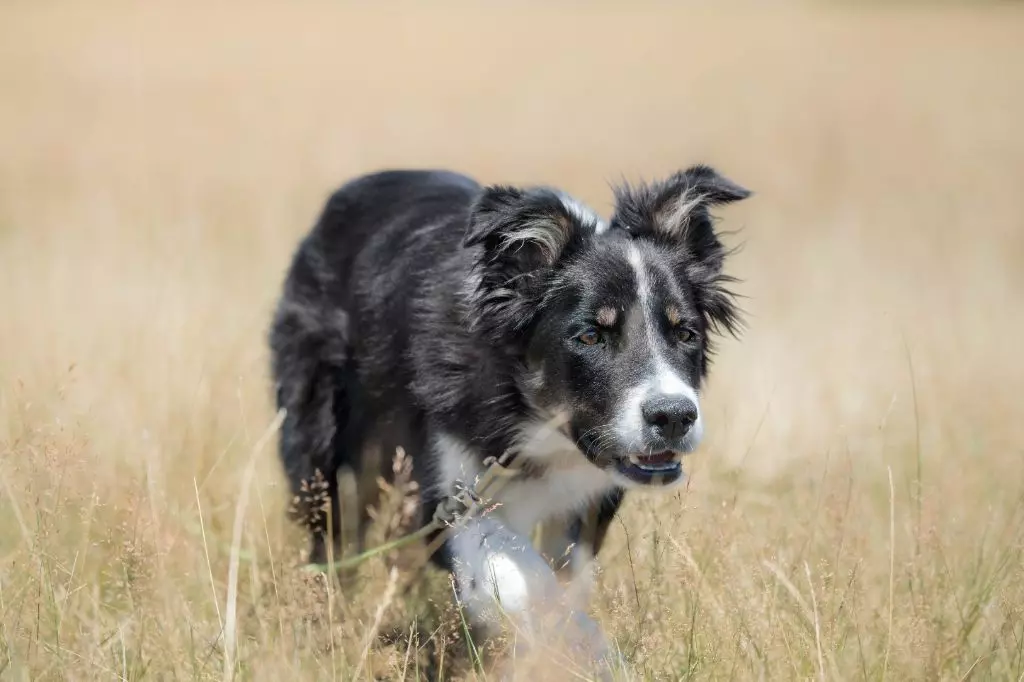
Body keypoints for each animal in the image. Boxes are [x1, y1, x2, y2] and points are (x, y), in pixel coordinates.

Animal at [270, 165, 753, 663]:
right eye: (590, 336)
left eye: (686, 333)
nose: (674, 416)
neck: (534, 419)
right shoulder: (449, 494)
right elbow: (523, 581)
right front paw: (586, 650)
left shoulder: (587, 501)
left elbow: (564, 579)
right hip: (324, 445)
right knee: (335, 538)